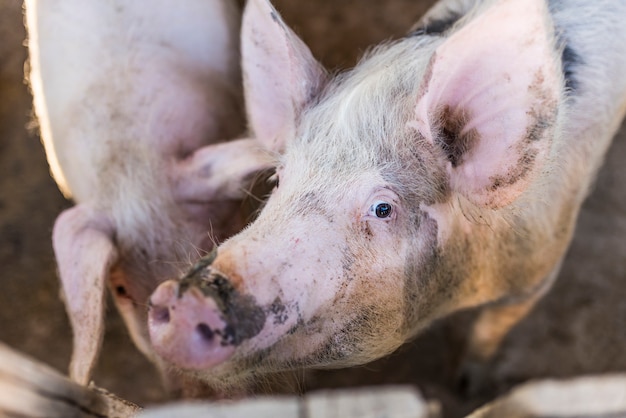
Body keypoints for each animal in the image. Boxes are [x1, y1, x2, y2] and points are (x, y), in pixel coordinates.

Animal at [147, 0, 624, 392]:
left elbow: (492, 329)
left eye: (382, 208)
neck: (465, 281)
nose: (184, 298)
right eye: (278, 180)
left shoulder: (538, 271)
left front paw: (466, 384)